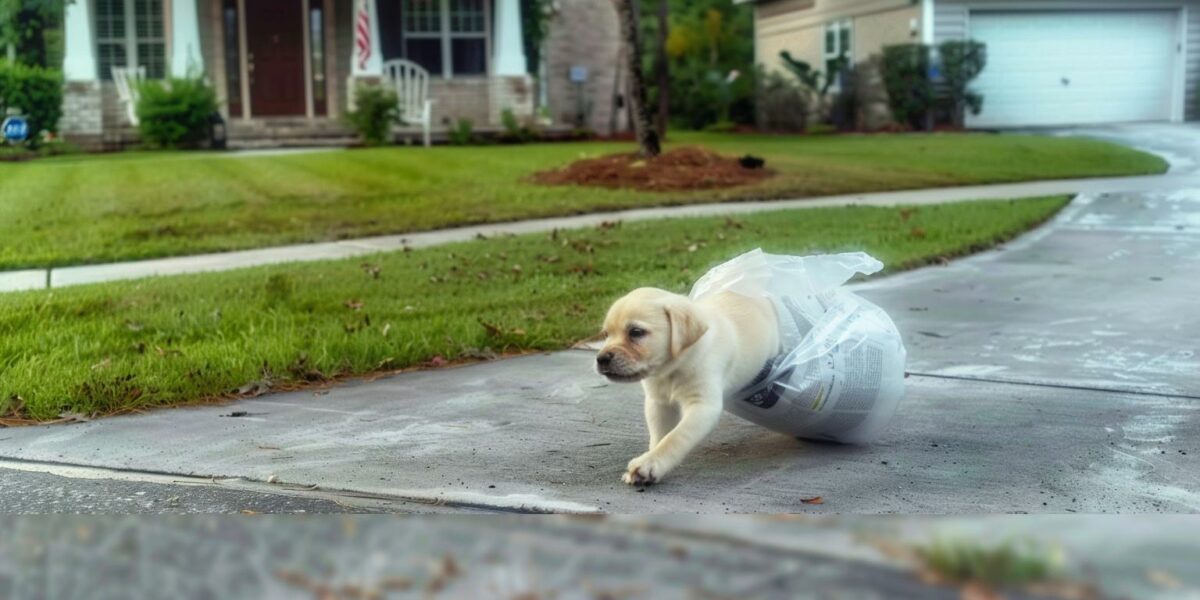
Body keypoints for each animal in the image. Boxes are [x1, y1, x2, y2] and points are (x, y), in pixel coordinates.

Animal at [597, 286, 782, 487]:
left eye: (636, 332)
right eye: (606, 335)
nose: (601, 359)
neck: (672, 368)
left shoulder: (702, 406)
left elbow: (675, 438)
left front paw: (650, 464)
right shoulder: (658, 404)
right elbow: (659, 437)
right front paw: (648, 459)